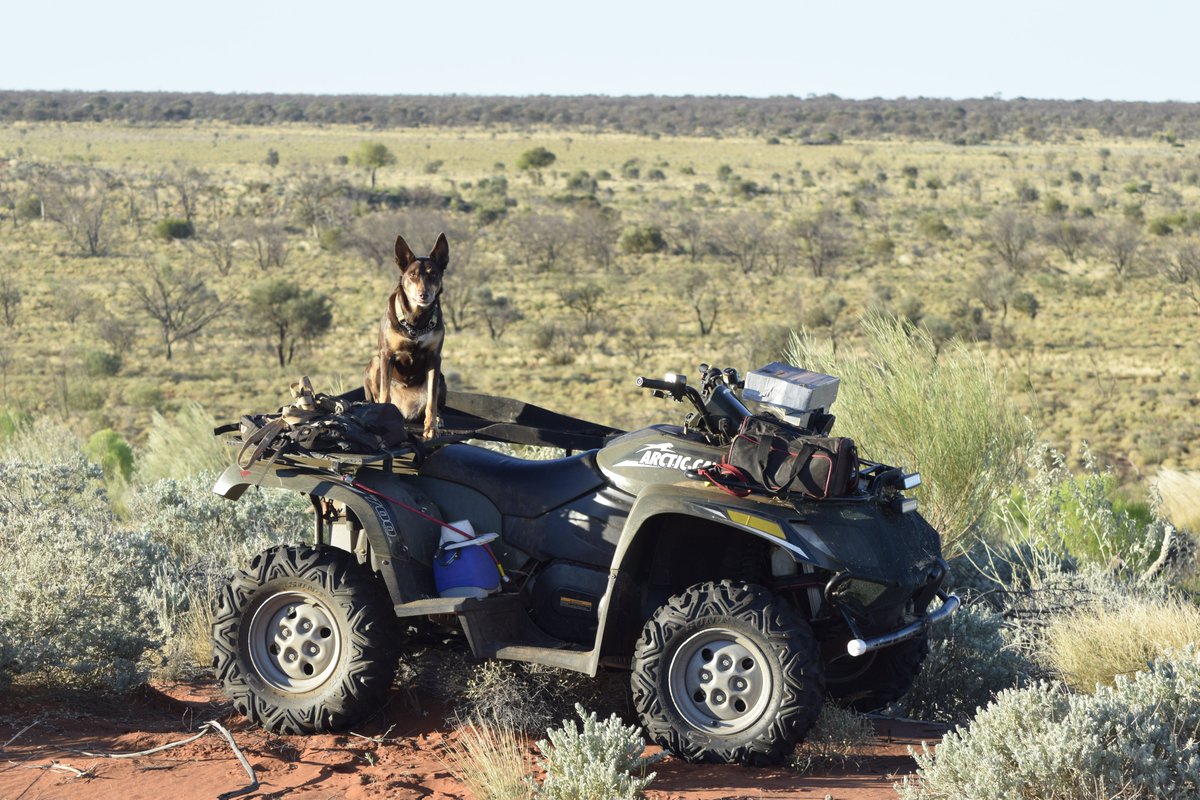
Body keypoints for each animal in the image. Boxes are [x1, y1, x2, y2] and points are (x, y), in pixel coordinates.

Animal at [362, 235, 448, 441]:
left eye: (433, 275)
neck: (416, 322)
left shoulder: (435, 358)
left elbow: (432, 400)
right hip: (375, 361)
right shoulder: (387, 355)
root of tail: (407, 411)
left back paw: (438, 418)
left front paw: (431, 429)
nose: (424, 295)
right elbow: (385, 394)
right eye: (412, 275)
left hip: (442, 377)